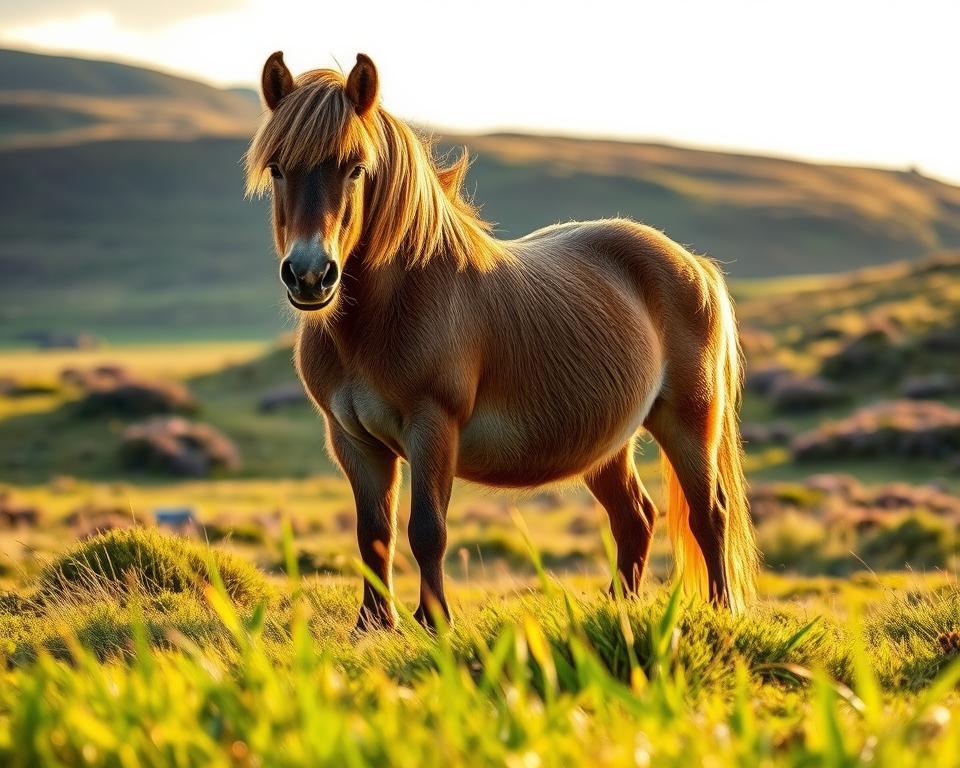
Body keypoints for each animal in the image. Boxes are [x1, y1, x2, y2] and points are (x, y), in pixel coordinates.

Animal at [246, 51, 758, 629]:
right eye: (277, 168)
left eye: (355, 167)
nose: (310, 276)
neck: (385, 313)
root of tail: (695, 264)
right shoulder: (353, 440)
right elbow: (372, 535)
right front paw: (373, 625)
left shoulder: (432, 426)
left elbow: (427, 530)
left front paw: (433, 622)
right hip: (609, 442)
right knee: (636, 518)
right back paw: (616, 611)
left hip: (689, 420)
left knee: (708, 514)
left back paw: (720, 612)